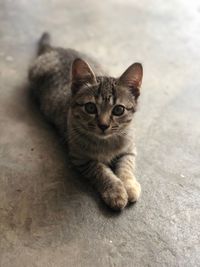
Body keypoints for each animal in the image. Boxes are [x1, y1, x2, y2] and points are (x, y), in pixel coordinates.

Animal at [28, 32, 143, 210]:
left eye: (118, 110)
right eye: (90, 108)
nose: (103, 125)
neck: (106, 142)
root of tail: (54, 49)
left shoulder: (129, 149)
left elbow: (126, 166)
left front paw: (129, 185)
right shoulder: (81, 158)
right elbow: (102, 172)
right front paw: (115, 191)